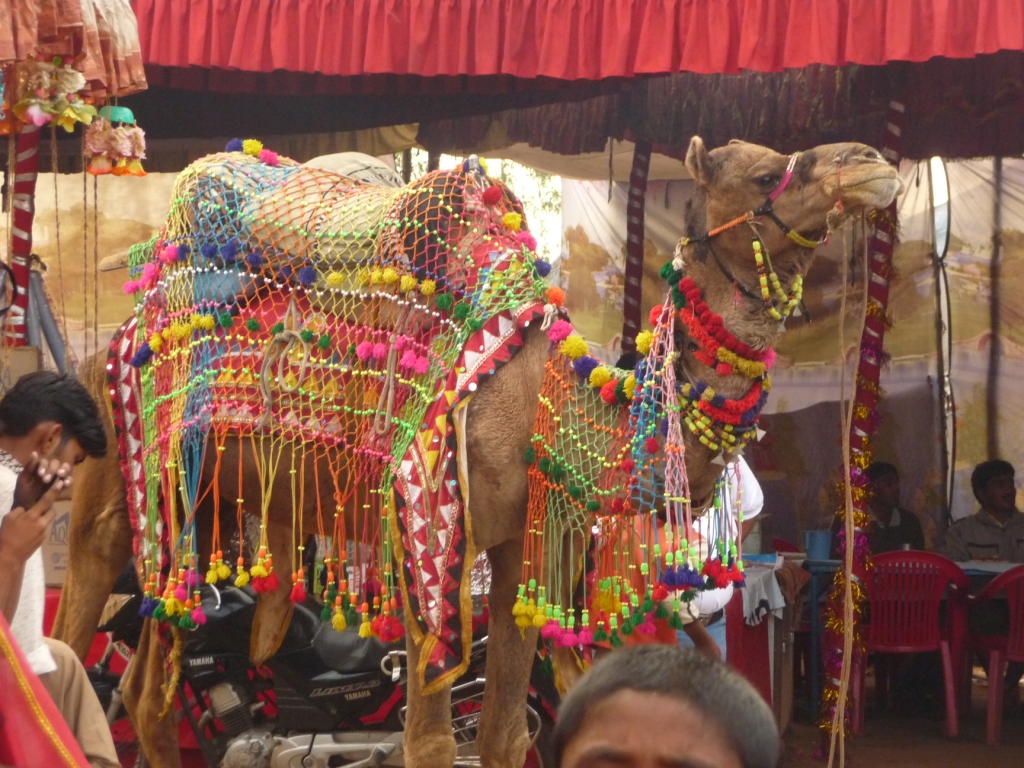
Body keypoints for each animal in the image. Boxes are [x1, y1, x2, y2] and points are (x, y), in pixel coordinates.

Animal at [53, 137, 900, 768]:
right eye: (765, 172)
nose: (873, 163)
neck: (533, 397)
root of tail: (120, 330)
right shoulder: (427, 532)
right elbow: (428, 742)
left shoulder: (519, 550)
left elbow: (505, 733)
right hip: (116, 482)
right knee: (71, 640)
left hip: (194, 511)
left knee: (147, 693)